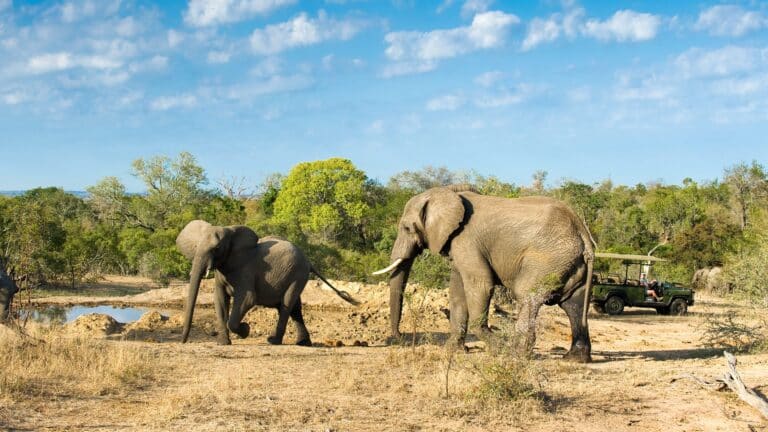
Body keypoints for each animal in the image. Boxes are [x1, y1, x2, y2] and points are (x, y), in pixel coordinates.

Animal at [176, 220, 358, 346]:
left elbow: (248, 299)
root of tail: (309, 261)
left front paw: (245, 330)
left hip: (298, 274)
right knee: (295, 308)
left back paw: (273, 341)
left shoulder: (245, 270)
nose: (183, 342)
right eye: (195, 246)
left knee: (286, 305)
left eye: (216, 249)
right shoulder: (222, 272)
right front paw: (223, 343)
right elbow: (220, 300)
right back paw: (303, 343)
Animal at [373, 185, 595, 362]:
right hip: (570, 263)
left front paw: (498, 349)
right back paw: (574, 359)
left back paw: (515, 355)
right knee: (573, 305)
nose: (399, 337)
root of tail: (583, 234)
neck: (450, 193)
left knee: (527, 297)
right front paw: (454, 351)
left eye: (406, 228)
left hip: (548, 259)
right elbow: (457, 292)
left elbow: (480, 285)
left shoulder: (467, 241)